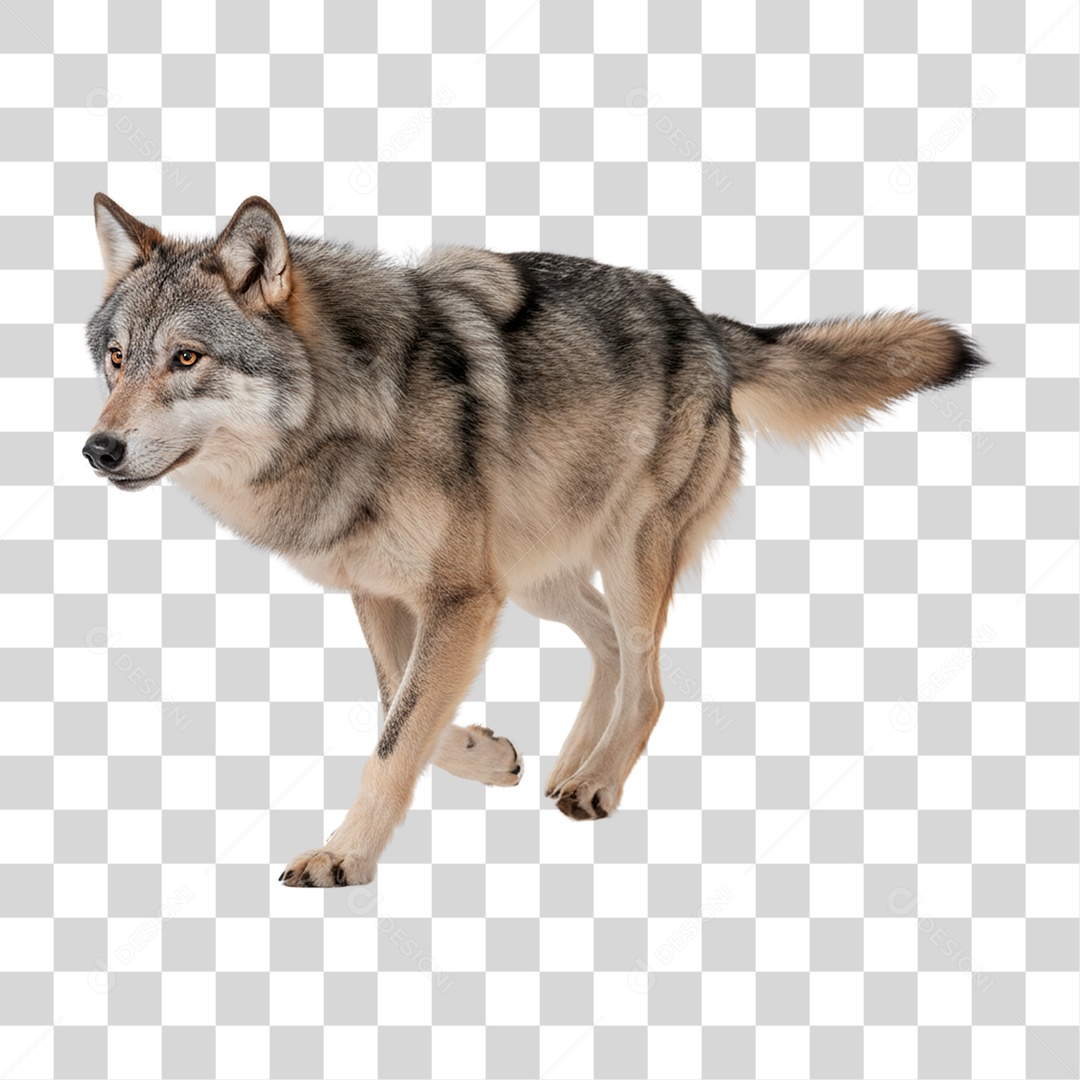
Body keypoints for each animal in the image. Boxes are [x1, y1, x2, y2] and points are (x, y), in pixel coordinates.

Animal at [83, 194, 985, 886]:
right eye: (118, 359)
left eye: (187, 358)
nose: (98, 450)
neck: (352, 412)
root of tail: (704, 321)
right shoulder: (391, 594)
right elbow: (399, 706)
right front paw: (485, 753)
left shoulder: (461, 597)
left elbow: (395, 735)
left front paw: (345, 858)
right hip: (539, 576)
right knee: (612, 654)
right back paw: (572, 764)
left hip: (623, 562)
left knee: (652, 682)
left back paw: (598, 784)